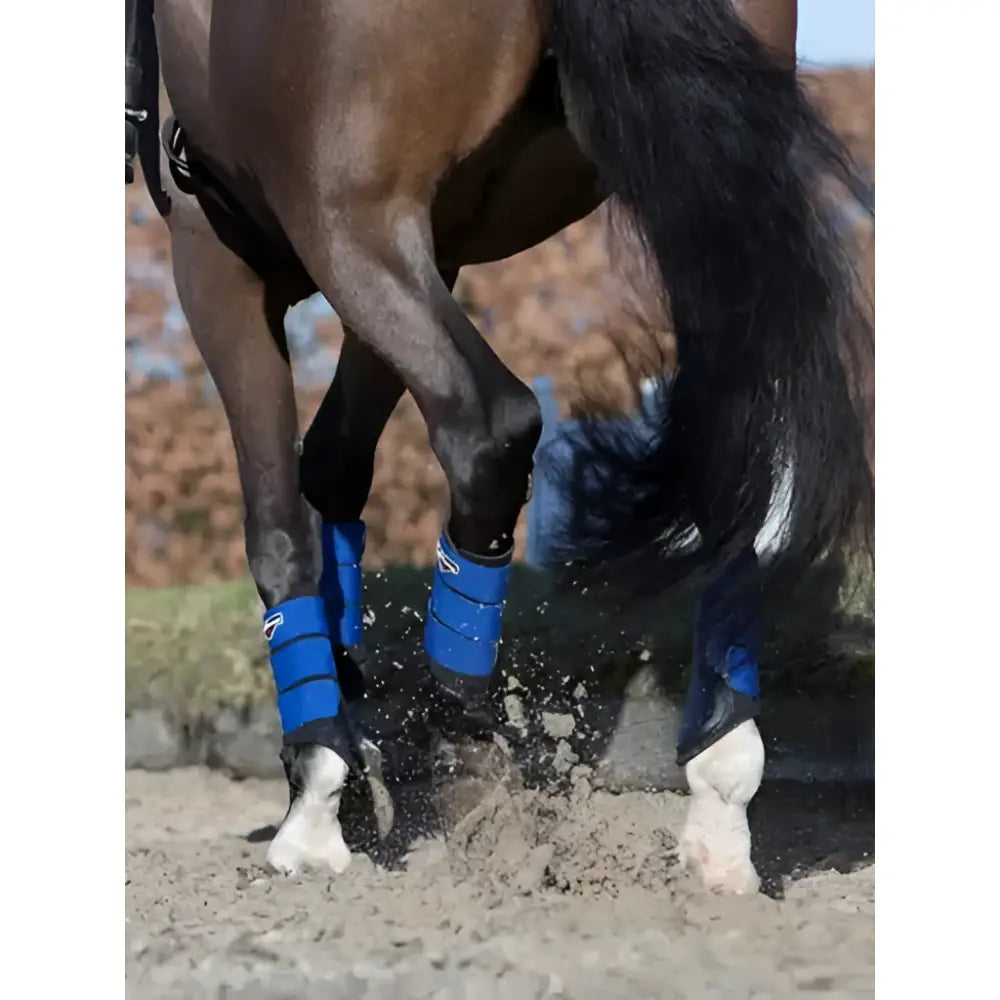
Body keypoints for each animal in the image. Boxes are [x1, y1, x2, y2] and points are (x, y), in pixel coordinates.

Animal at [125, 0, 874, 895]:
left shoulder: (216, 251)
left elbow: (279, 523)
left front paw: (319, 791)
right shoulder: (439, 241)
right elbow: (334, 466)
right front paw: (348, 718)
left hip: (348, 222)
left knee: (489, 426)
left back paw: (461, 741)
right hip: (703, 189)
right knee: (747, 452)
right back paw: (718, 796)